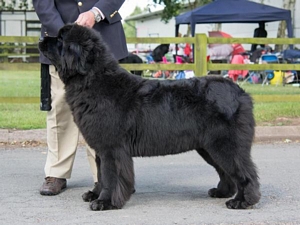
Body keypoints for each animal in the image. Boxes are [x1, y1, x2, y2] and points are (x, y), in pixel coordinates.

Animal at [39, 24, 260, 211]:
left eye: (60, 39)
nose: (41, 37)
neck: (92, 81)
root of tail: (241, 93)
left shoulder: (111, 147)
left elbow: (110, 176)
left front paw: (104, 202)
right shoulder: (101, 147)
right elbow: (101, 174)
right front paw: (95, 194)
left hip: (224, 144)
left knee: (244, 172)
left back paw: (242, 201)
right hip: (208, 147)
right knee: (226, 171)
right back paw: (222, 192)